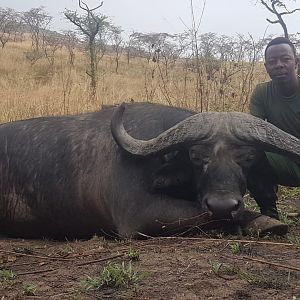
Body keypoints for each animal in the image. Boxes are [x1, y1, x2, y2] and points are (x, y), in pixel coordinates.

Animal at [0, 103, 300, 239]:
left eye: (248, 158)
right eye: (196, 157)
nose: (223, 205)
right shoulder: (138, 217)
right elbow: (206, 216)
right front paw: (265, 222)